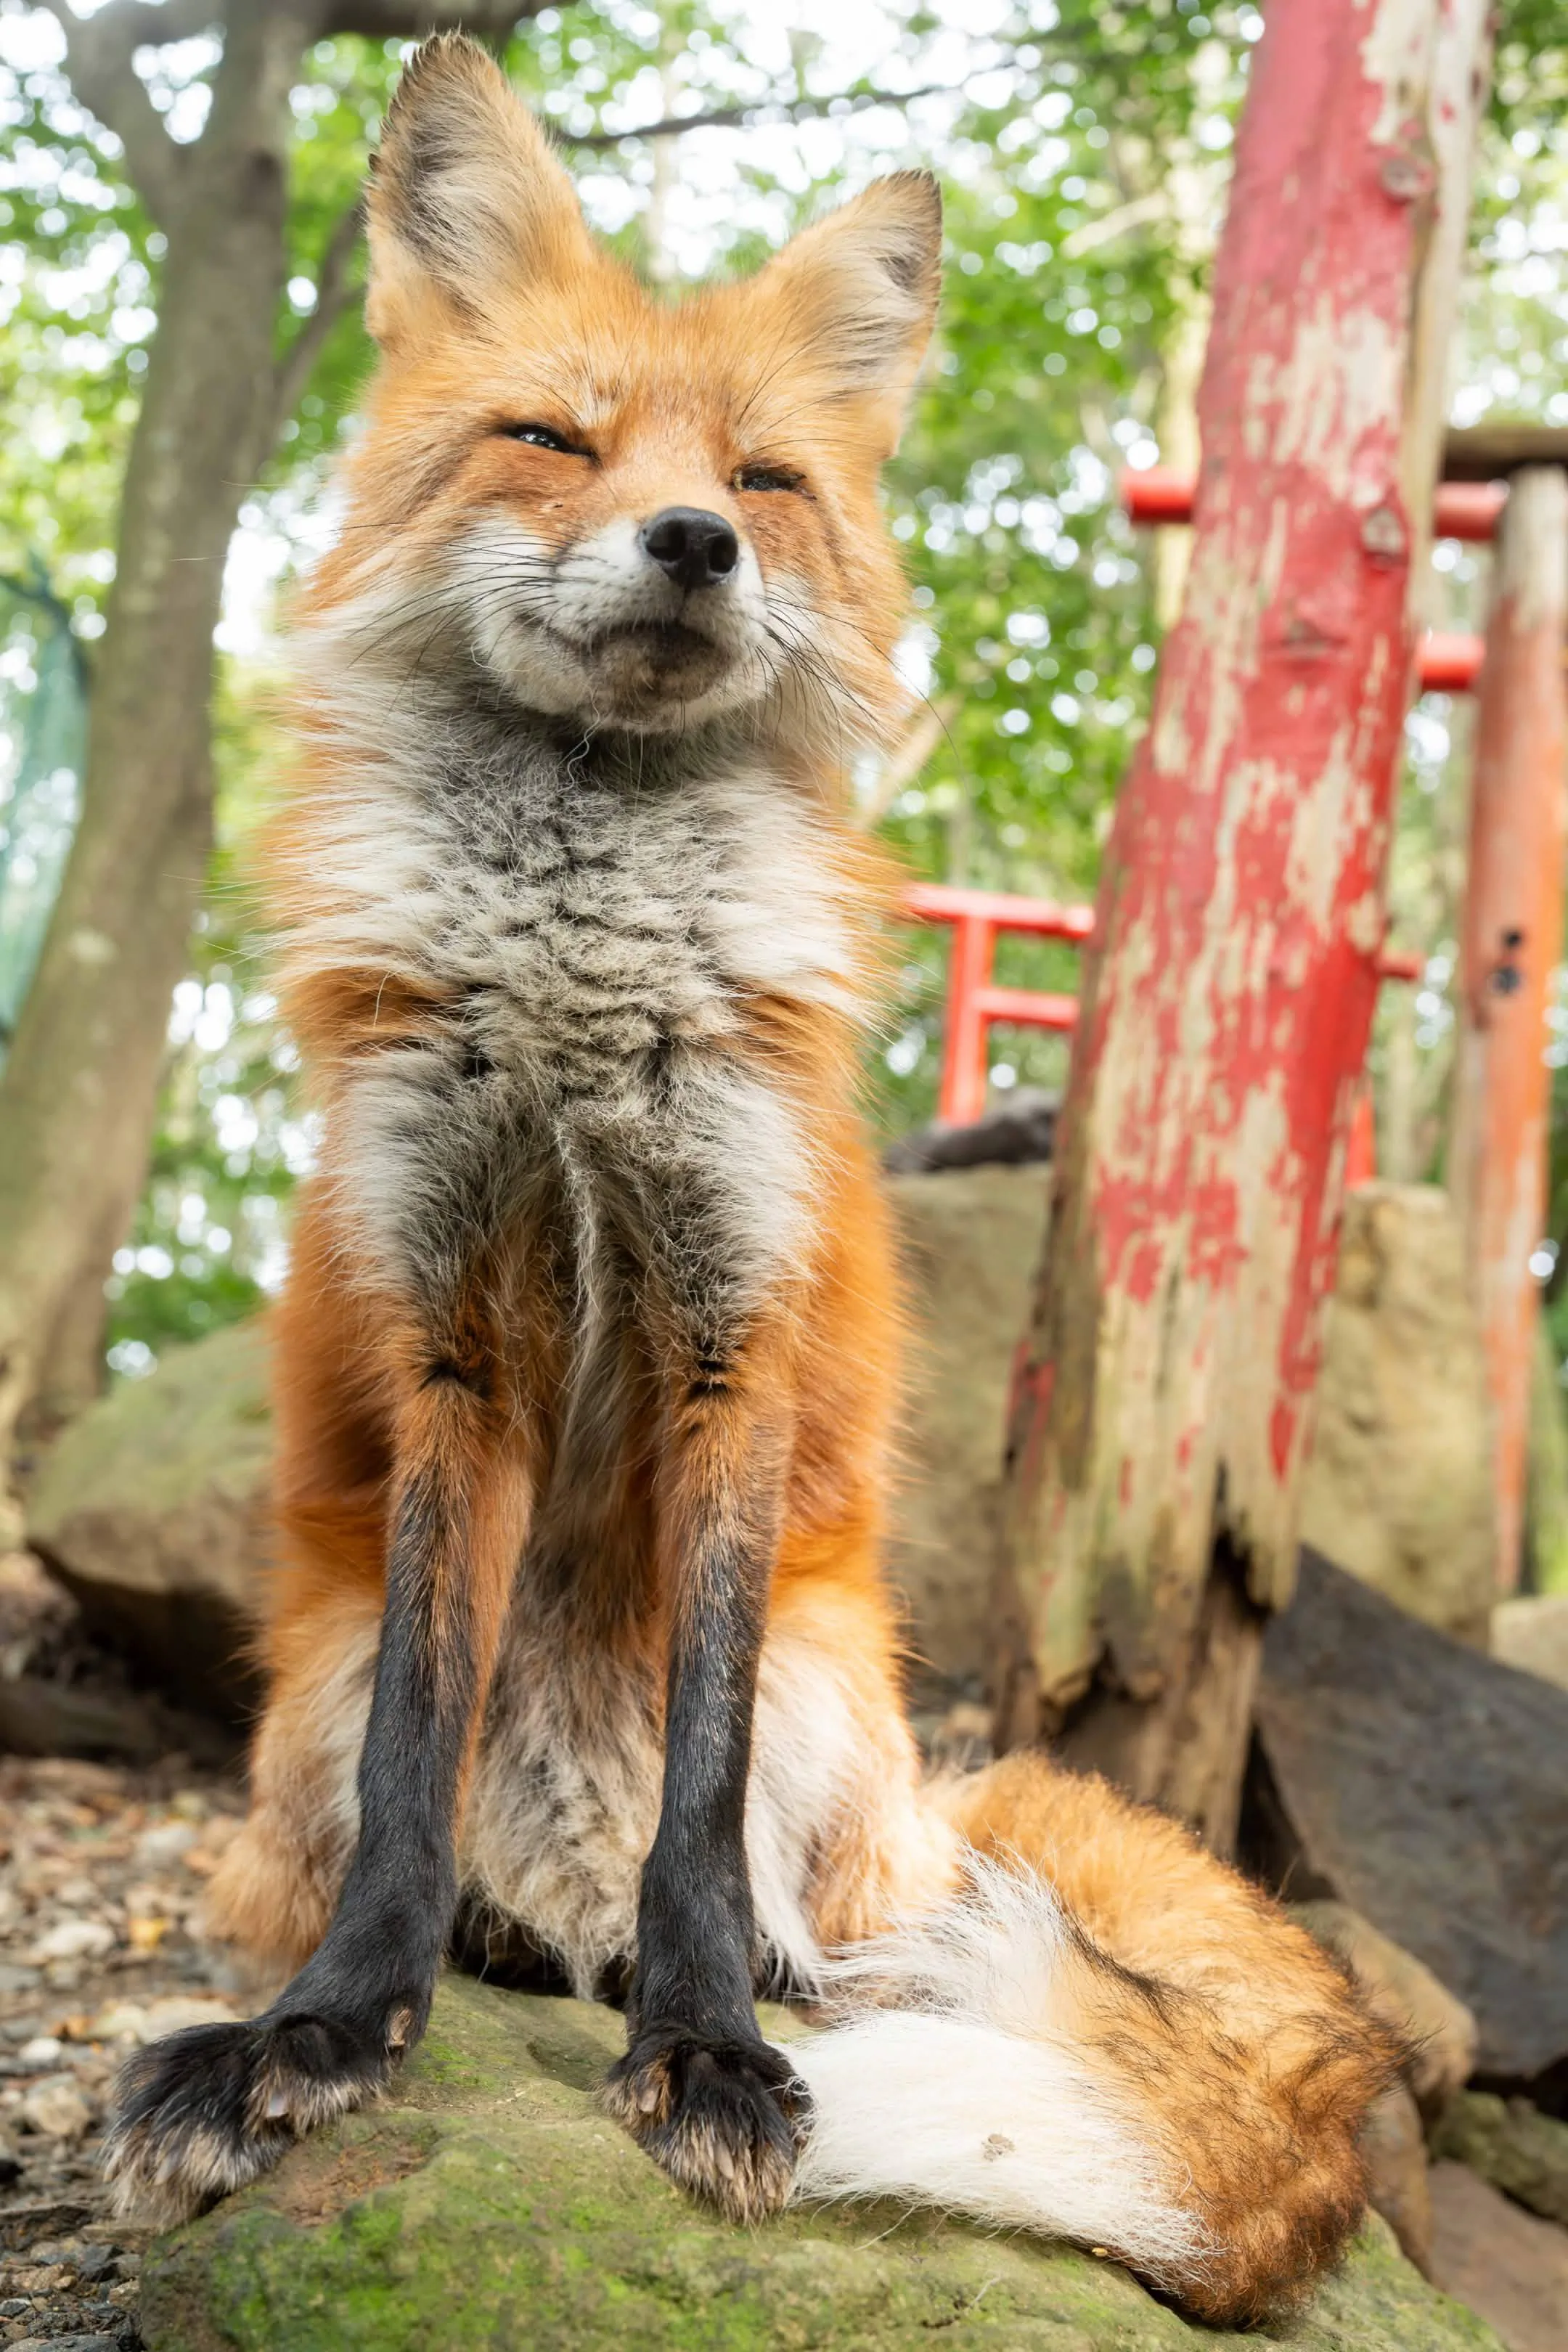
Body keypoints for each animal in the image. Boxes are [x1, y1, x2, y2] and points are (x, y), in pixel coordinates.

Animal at [104, 34, 1396, 2325]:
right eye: (554, 439)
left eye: (769, 478)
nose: (694, 540)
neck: (573, 1003)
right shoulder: (451, 1346)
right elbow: (411, 1758)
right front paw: (326, 2032)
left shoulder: (735, 1331)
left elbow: (695, 1805)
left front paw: (702, 2046)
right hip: (306, 1679)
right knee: (433, 1833)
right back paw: (487, 1941)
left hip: (830, 1684)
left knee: (818, 1908)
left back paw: (759, 1981)